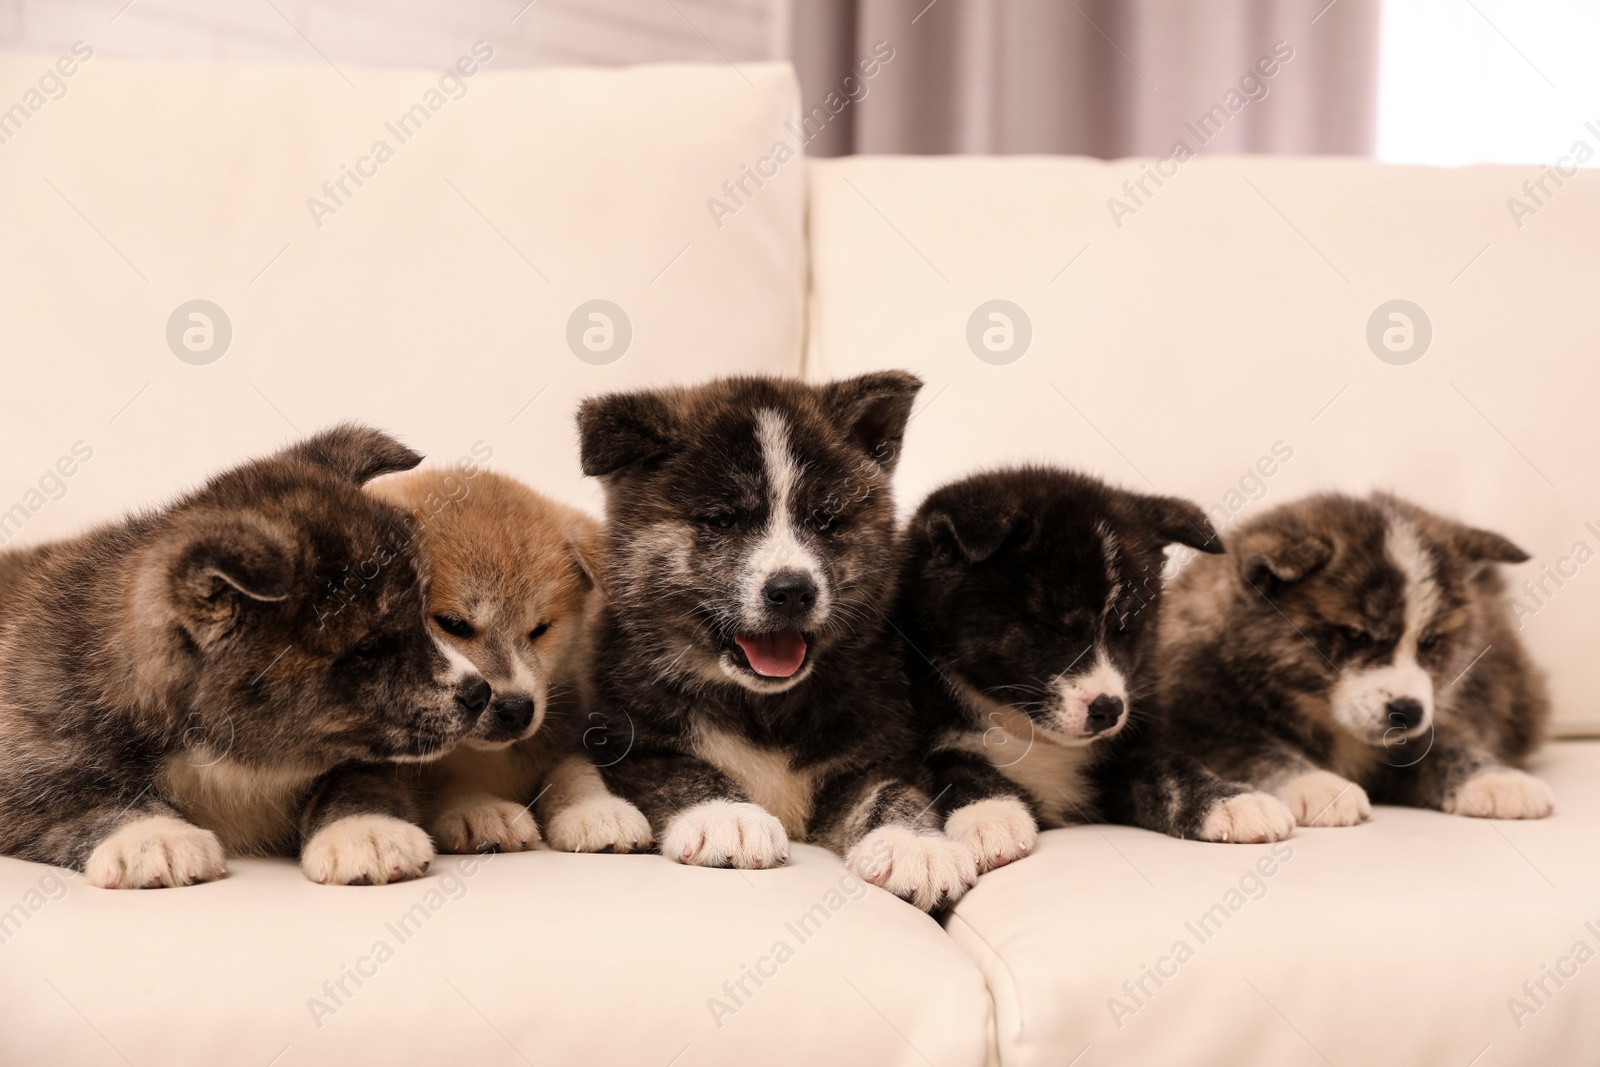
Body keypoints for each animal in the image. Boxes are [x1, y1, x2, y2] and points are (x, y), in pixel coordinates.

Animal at [0, 422, 489, 883]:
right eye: (368, 647)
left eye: (422, 616)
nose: (480, 694)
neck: (222, 754)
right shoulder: (27, 770)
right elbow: (85, 802)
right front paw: (153, 838)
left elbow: (360, 780)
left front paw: (365, 830)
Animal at [576, 374, 972, 908]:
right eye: (723, 520)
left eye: (824, 519)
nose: (792, 591)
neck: (762, 708)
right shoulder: (627, 741)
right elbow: (680, 772)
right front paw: (728, 816)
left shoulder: (878, 754)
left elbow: (894, 793)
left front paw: (915, 844)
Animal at [1158, 492, 1555, 825]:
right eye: (1355, 635)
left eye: (1430, 641)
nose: (1408, 712)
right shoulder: (1198, 726)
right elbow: (1257, 754)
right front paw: (1320, 786)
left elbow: (1445, 748)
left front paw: (1497, 779)